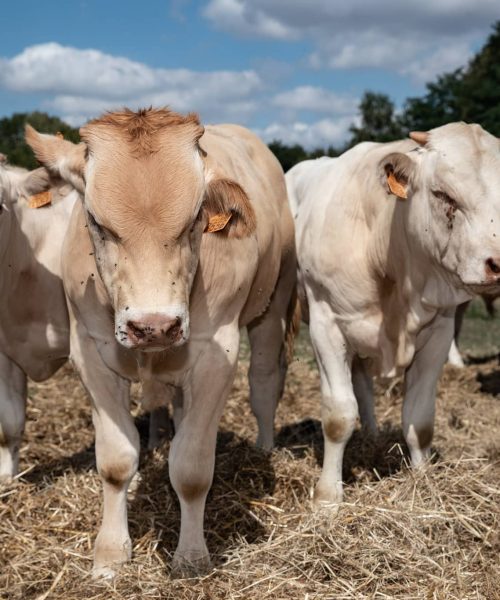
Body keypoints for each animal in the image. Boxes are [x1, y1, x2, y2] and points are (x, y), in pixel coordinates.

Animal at [25, 108, 294, 576]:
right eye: (97, 222)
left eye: (195, 220)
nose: (153, 326)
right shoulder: (91, 355)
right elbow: (116, 462)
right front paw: (110, 554)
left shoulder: (215, 357)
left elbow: (191, 469)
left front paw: (191, 556)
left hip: (272, 304)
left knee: (263, 383)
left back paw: (263, 446)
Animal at [288, 124, 500, 508]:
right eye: (442, 193)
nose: (497, 263)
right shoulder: (327, 326)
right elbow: (338, 416)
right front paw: (328, 498)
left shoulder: (439, 331)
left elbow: (420, 418)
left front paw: (423, 479)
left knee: (363, 384)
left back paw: (372, 434)